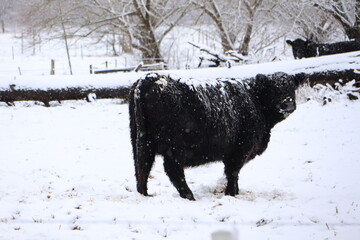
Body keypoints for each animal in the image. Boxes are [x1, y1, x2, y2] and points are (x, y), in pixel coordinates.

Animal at [129, 72, 304, 200]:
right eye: (273, 89)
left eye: (292, 88)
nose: (288, 103)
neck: (254, 99)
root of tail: (151, 77)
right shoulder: (240, 149)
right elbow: (232, 172)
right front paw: (231, 194)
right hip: (174, 147)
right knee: (172, 170)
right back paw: (189, 196)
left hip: (141, 143)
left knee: (141, 167)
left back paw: (144, 194)